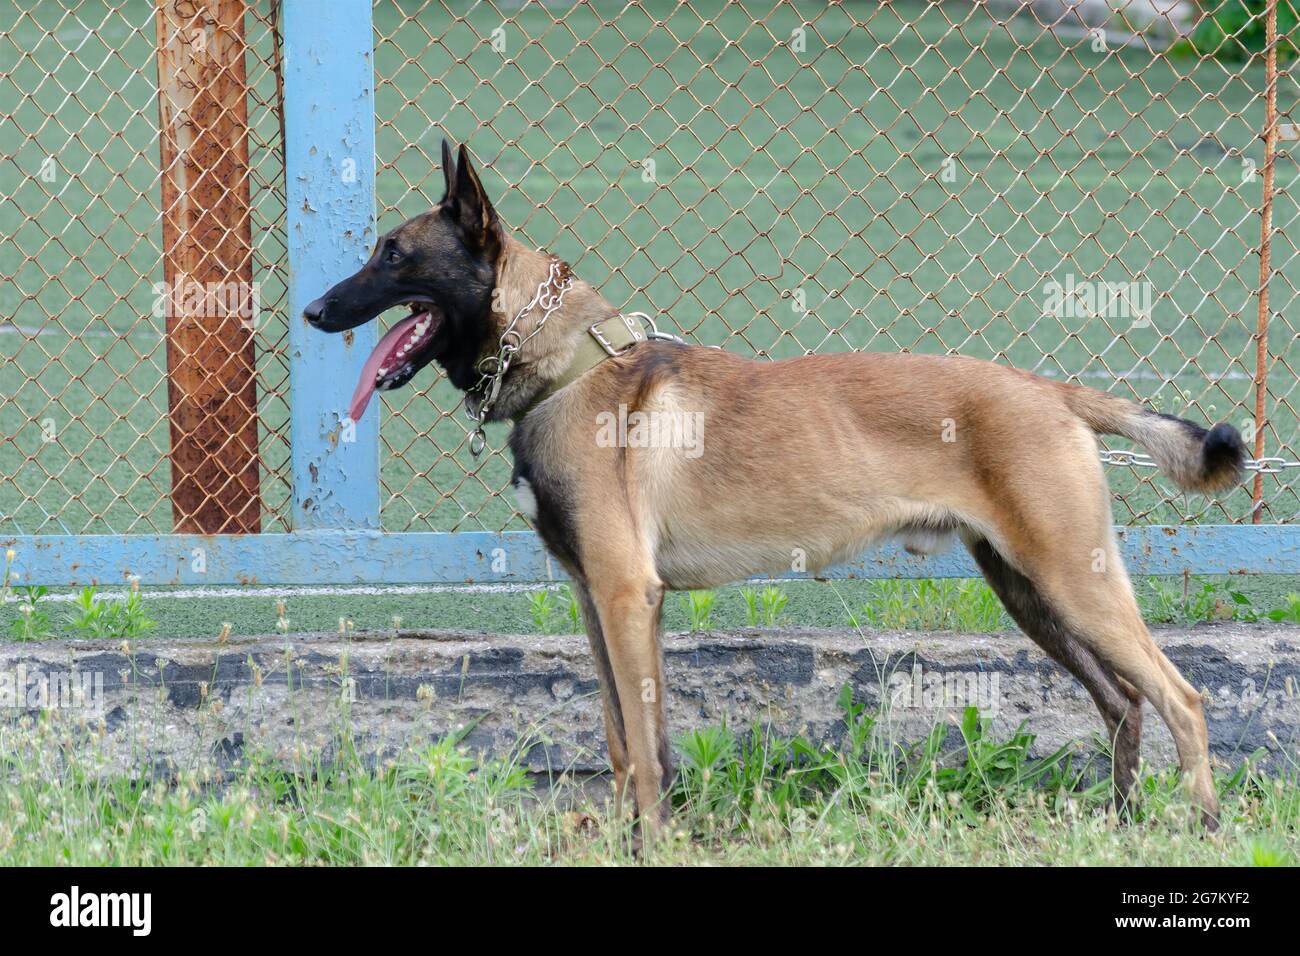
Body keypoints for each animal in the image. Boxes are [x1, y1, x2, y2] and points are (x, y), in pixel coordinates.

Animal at [306, 138, 1248, 832]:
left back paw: (1202, 824)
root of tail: (1052, 389)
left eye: (393, 255)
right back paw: (1121, 822)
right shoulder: (596, 600)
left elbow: (643, 750)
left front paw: (653, 842)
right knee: (1123, 702)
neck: (570, 368)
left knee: (1182, 697)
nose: (314, 313)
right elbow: (622, 741)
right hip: (1031, 592)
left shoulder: (624, 596)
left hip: (1071, 583)